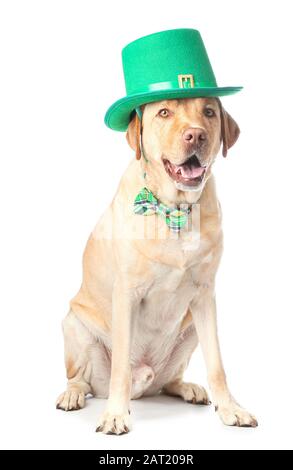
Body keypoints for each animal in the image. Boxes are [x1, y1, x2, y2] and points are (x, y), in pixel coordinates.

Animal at [56, 97, 256, 436]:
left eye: (209, 112)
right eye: (164, 112)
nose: (196, 135)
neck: (176, 209)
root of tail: (145, 383)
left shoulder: (205, 296)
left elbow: (217, 365)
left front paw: (231, 409)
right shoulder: (126, 295)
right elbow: (120, 368)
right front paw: (115, 414)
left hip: (190, 329)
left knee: (169, 382)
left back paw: (188, 388)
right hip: (74, 326)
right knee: (80, 379)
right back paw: (73, 395)